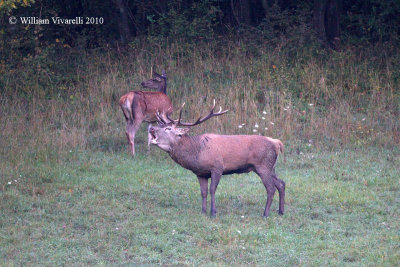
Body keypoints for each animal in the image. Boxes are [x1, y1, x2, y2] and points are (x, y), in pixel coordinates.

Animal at [148, 101, 286, 219]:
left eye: (168, 129)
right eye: (160, 125)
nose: (151, 128)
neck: (197, 152)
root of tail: (277, 142)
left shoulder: (217, 167)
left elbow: (212, 190)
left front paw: (213, 212)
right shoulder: (201, 173)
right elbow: (203, 192)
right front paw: (203, 211)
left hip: (263, 166)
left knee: (271, 188)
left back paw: (265, 214)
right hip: (271, 167)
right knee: (281, 183)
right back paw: (281, 211)